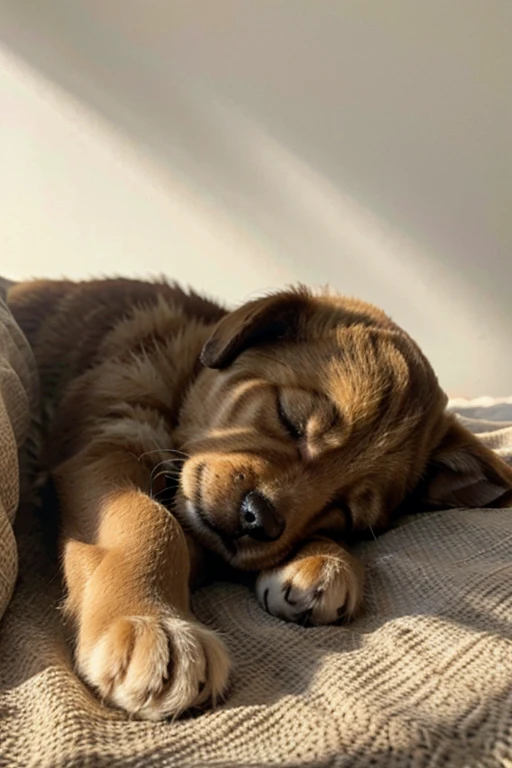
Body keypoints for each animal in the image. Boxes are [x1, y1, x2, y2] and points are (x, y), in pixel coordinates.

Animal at [5, 280, 512, 720]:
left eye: (345, 512)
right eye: (291, 418)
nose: (259, 520)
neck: (185, 376)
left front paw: (324, 559)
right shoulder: (106, 445)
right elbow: (149, 520)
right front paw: (153, 622)